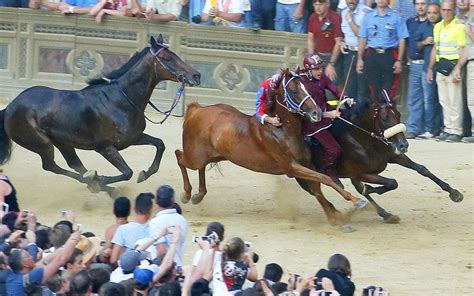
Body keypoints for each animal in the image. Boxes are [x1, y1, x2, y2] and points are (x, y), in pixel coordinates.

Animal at [176, 70, 364, 227]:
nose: (317, 112)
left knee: (199, 166)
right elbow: (325, 179)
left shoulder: (306, 164)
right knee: (180, 156)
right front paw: (355, 201)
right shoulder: (291, 167)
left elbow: (318, 188)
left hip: (213, 155)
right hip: (195, 155)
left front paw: (335, 216)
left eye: (306, 87)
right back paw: (187, 194)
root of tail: (195, 110)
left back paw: (198, 195)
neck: (283, 130)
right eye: (294, 91)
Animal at [308, 90, 462, 222]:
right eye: (384, 118)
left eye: (398, 114)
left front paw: (454, 193)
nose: (403, 145)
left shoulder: (394, 155)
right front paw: (370, 189)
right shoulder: (360, 173)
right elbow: (391, 182)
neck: (362, 141)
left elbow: (422, 169)